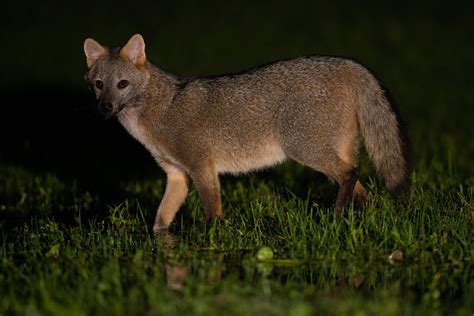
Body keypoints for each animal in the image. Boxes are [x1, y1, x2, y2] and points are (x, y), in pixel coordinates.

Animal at [84, 34, 408, 235]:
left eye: (122, 84)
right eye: (99, 84)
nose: (106, 107)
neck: (159, 110)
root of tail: (345, 63)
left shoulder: (202, 167)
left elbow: (212, 213)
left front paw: (212, 241)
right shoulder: (177, 176)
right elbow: (160, 220)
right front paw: (158, 244)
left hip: (305, 151)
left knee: (351, 174)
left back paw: (338, 215)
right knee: (362, 189)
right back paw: (359, 220)